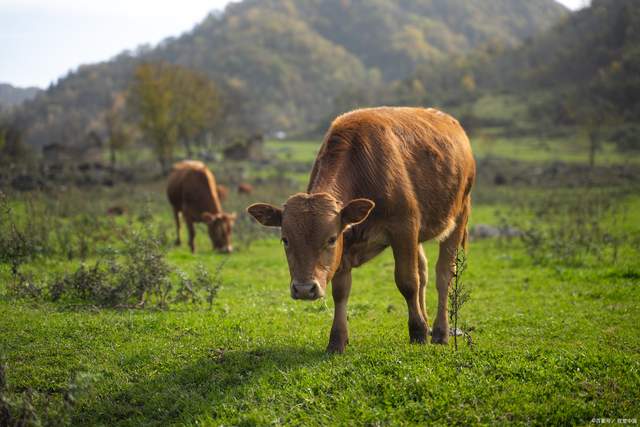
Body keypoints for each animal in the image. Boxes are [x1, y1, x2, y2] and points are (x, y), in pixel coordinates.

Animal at [249, 105, 476, 352]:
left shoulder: (404, 228)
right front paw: (337, 340)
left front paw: (417, 332)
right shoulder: (347, 242)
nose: (304, 289)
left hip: (459, 215)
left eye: (330, 239)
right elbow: (340, 290)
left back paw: (440, 332)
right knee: (424, 271)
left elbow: (407, 281)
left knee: (443, 274)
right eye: (285, 240)